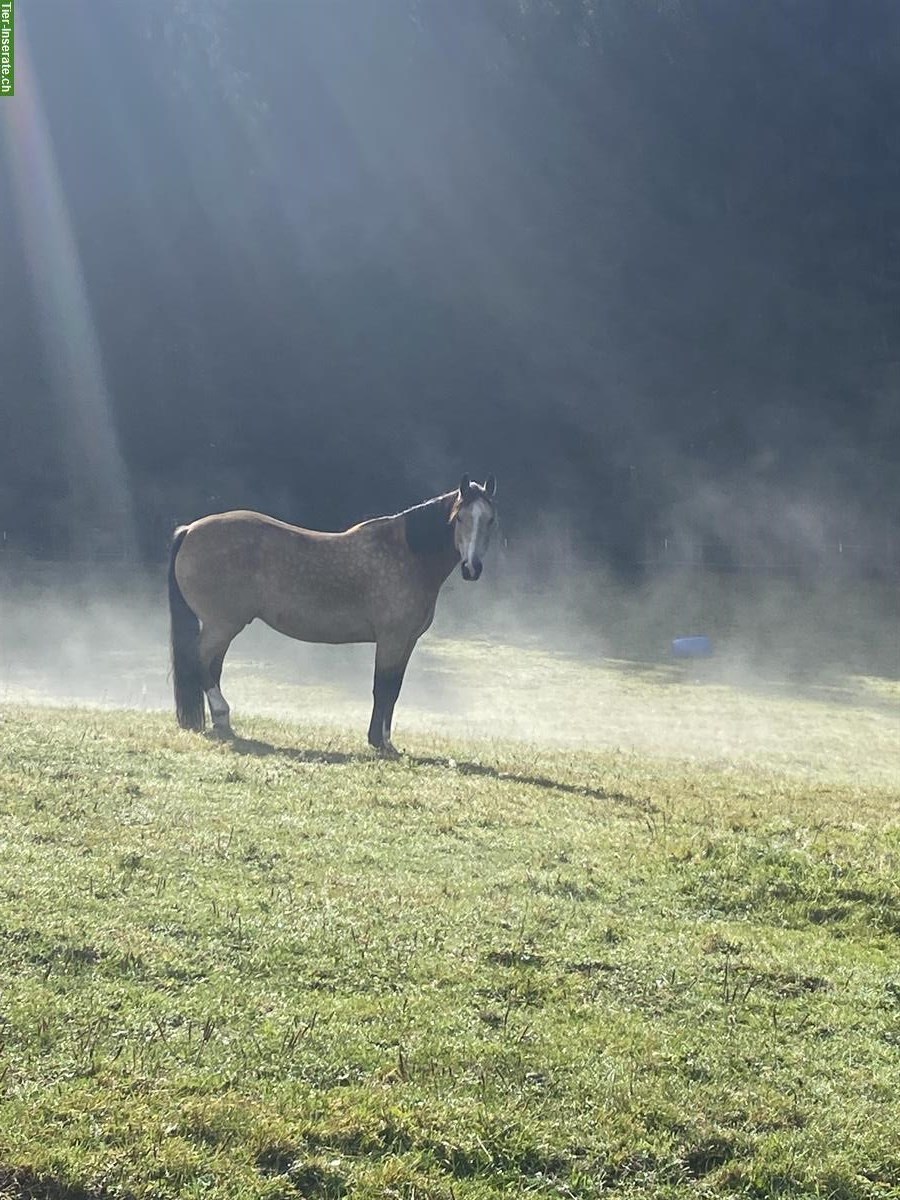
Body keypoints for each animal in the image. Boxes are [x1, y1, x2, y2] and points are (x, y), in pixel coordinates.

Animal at [165, 472, 496, 753]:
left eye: (490, 520)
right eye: (460, 517)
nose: (472, 568)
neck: (408, 554)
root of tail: (190, 530)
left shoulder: (407, 642)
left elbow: (394, 689)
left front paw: (387, 741)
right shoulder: (391, 640)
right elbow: (382, 688)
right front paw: (377, 741)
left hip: (221, 626)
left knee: (212, 667)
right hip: (222, 625)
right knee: (200, 661)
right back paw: (223, 714)